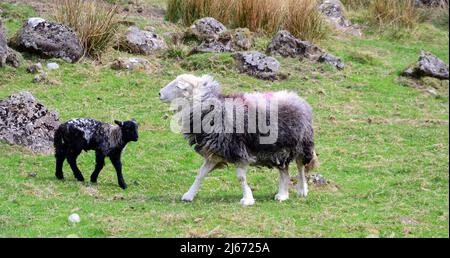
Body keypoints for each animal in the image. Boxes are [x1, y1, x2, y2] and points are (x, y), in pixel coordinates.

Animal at [160, 74, 318, 206]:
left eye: (178, 86)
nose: (159, 93)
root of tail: (298, 99)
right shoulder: (215, 152)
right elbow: (200, 174)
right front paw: (189, 195)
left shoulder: (239, 151)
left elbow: (240, 178)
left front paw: (247, 199)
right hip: (279, 150)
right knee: (284, 171)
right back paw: (282, 195)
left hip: (301, 144)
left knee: (300, 167)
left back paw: (302, 190)